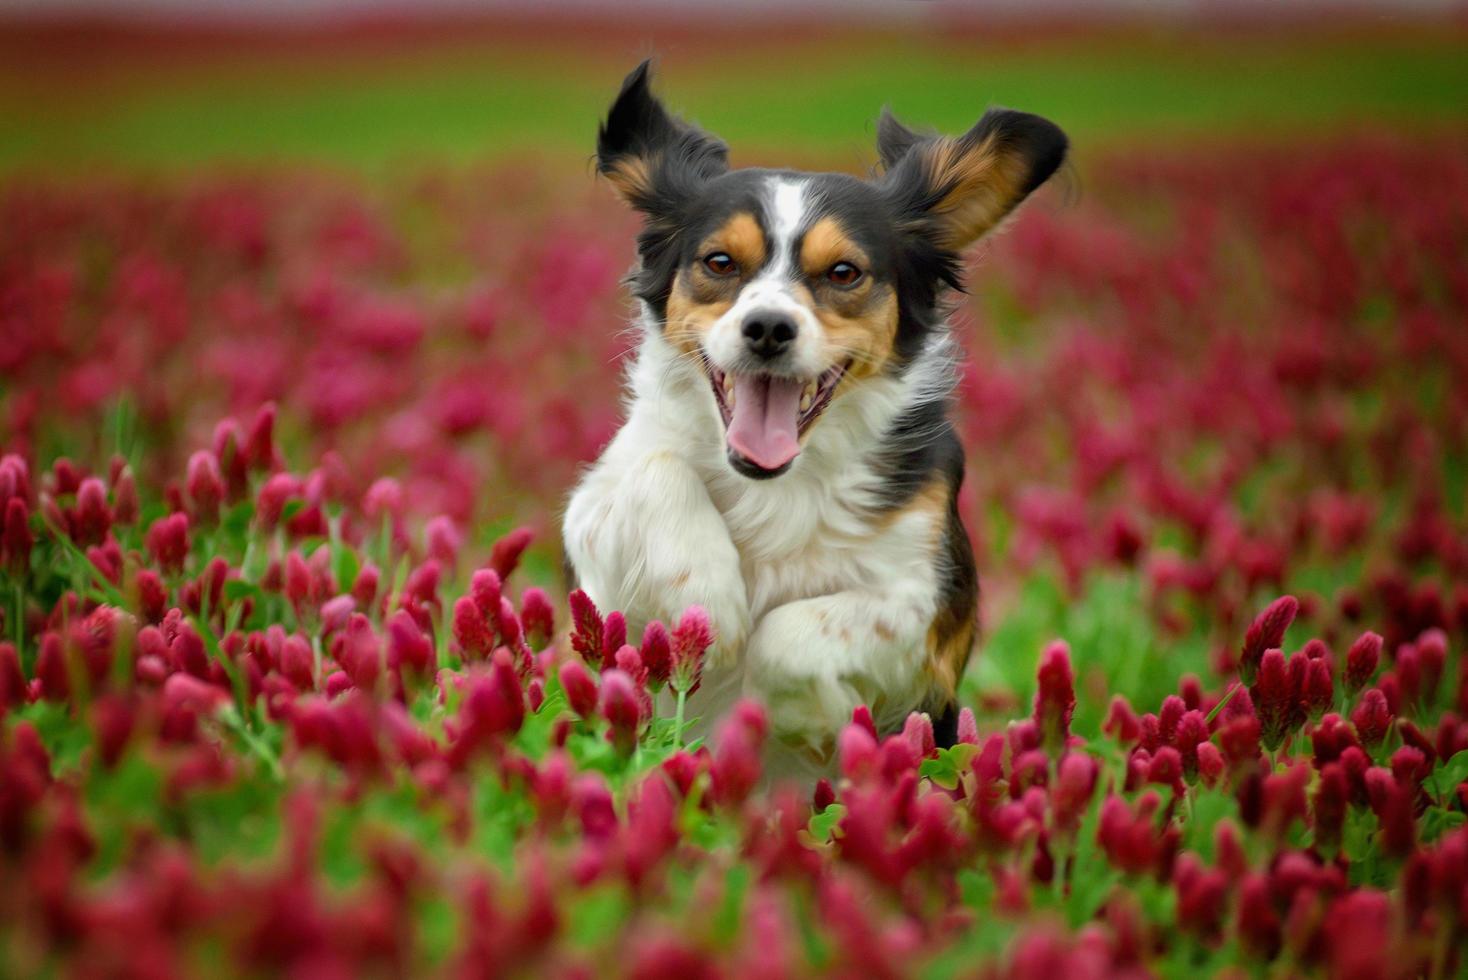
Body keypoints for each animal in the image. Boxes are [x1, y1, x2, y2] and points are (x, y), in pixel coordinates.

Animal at [563, 61, 1068, 774]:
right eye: (720, 262)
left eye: (844, 272)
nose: (769, 327)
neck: (776, 483)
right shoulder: (592, 537)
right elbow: (654, 467)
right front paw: (707, 602)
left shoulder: (934, 604)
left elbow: (788, 634)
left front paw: (813, 722)